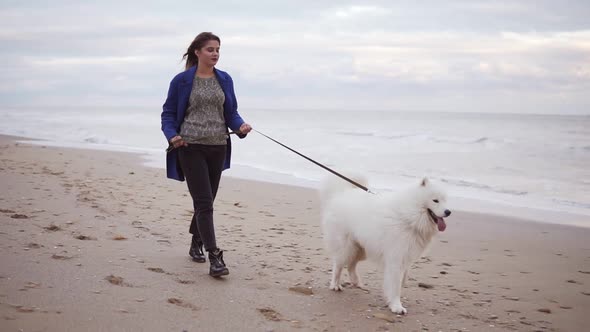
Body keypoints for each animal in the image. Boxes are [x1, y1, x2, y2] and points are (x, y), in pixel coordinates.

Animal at [322, 176, 450, 314]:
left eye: (445, 200)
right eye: (435, 200)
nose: (448, 212)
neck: (409, 217)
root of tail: (341, 194)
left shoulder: (405, 259)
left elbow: (402, 281)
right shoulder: (396, 260)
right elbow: (395, 286)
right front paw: (397, 306)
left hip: (361, 249)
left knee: (351, 265)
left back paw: (356, 282)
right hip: (347, 248)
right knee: (338, 265)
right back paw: (335, 285)